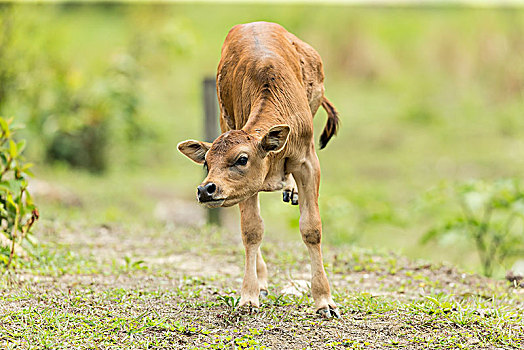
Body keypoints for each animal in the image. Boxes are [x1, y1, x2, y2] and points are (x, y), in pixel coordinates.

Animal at [177, 21, 340, 318]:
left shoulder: (308, 161)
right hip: (224, 118)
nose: (206, 189)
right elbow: (252, 230)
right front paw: (250, 295)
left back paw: (291, 189)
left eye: (242, 159)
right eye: (207, 162)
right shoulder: (245, 187)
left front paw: (325, 301)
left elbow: (312, 228)